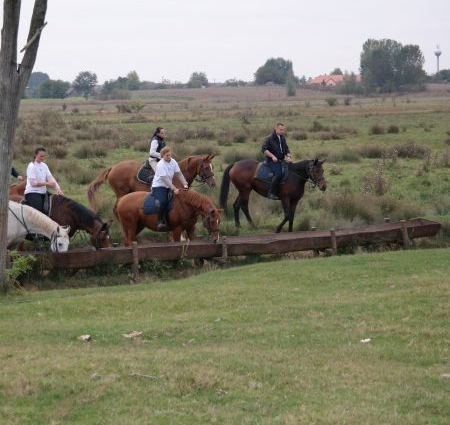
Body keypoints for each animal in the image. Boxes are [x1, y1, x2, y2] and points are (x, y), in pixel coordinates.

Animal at [87, 153, 217, 211]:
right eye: (206, 167)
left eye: (213, 166)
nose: (213, 184)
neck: (178, 174)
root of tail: (113, 167)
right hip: (121, 193)